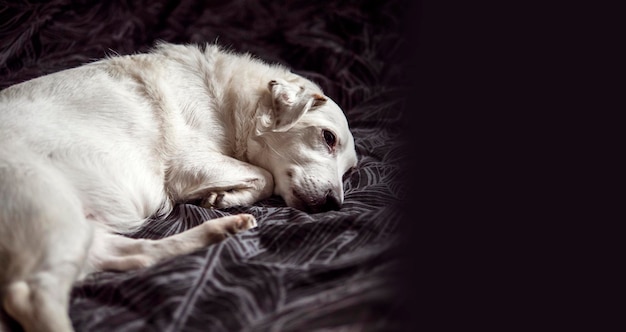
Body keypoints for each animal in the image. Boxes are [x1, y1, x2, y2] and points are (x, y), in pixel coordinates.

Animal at [0, 43, 356, 332]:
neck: (226, 101)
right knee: (28, 294)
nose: (333, 204)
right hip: (56, 215)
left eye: (350, 171)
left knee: (140, 256)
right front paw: (228, 195)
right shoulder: (189, 163)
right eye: (328, 138)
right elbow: (265, 177)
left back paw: (224, 229)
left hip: (83, 230)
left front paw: (225, 198)